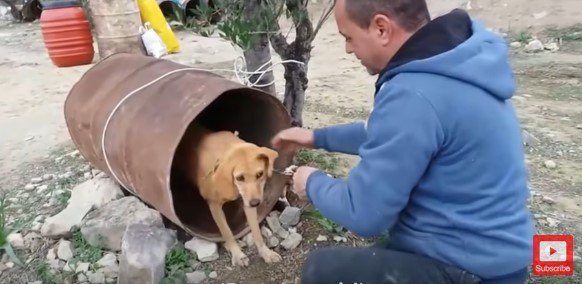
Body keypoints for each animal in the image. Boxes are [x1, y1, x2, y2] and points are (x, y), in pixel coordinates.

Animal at [176, 122, 282, 266]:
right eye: (240, 178)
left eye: (260, 174)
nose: (255, 203)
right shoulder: (214, 206)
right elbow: (227, 232)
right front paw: (237, 255)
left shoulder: (247, 203)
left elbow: (256, 232)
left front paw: (266, 252)